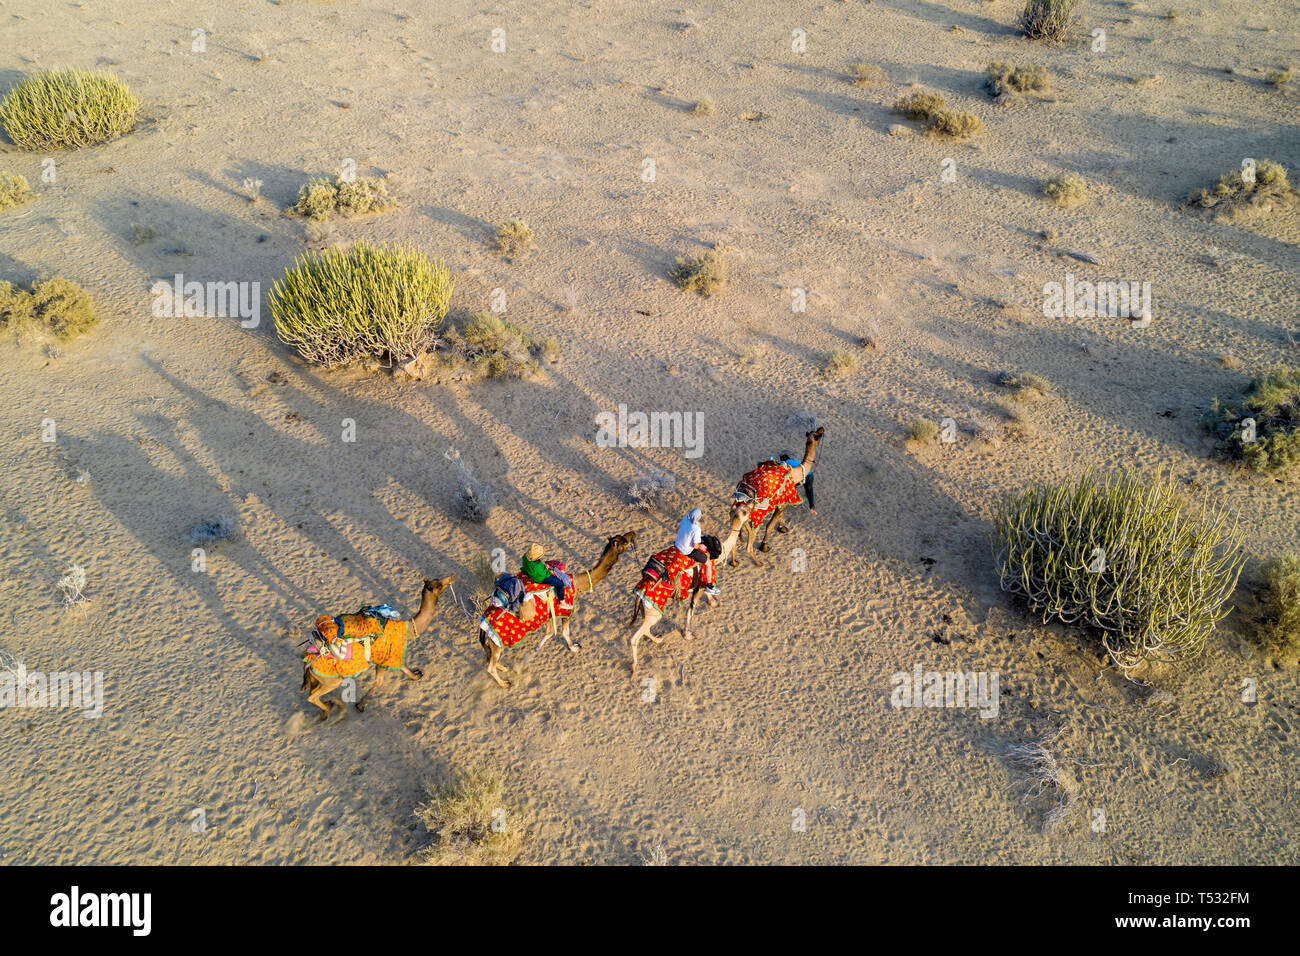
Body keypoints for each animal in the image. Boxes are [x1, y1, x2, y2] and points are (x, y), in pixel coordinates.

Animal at [301, 572, 454, 723]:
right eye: (438, 585)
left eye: (437, 581)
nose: (450, 578)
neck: (408, 628)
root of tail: (308, 663)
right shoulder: (386, 657)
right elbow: (379, 682)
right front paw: (360, 705)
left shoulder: (391, 655)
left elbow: (403, 668)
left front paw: (416, 675)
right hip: (331, 679)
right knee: (312, 697)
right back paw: (334, 707)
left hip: (316, 678)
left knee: (312, 693)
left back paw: (327, 709)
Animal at [480, 530, 637, 686]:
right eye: (624, 541)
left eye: (623, 536)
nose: (633, 534)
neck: (579, 583)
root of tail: (482, 624)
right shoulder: (567, 612)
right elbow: (565, 633)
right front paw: (574, 647)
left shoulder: (550, 614)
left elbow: (549, 633)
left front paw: (534, 650)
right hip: (497, 641)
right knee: (490, 666)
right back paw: (504, 683)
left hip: (493, 643)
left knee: (491, 657)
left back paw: (504, 667)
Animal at [626, 502, 754, 681]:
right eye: (744, 511)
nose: (752, 506)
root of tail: (640, 590)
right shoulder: (701, 582)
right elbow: (691, 609)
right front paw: (688, 635)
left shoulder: (700, 583)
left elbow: (705, 594)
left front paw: (713, 602)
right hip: (654, 609)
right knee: (635, 638)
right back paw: (634, 667)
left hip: (648, 610)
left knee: (646, 627)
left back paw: (658, 639)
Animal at [728, 429, 826, 567]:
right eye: (817, 435)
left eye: (814, 432)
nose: (822, 428)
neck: (796, 473)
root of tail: (737, 506)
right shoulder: (783, 502)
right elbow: (770, 525)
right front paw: (764, 547)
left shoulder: (780, 502)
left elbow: (779, 517)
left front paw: (783, 528)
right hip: (752, 524)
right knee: (748, 546)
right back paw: (758, 563)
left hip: (738, 522)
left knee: (733, 541)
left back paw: (734, 562)